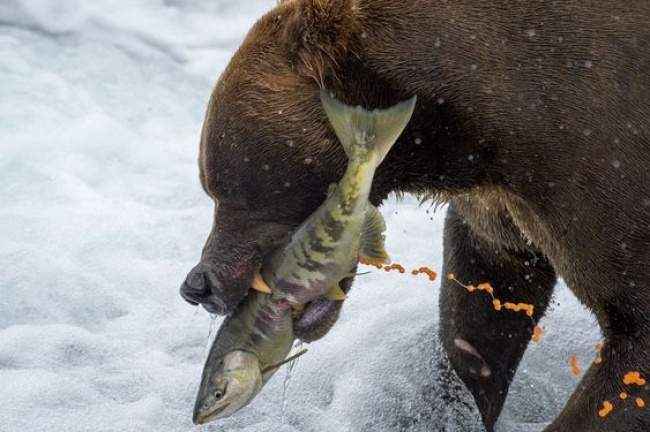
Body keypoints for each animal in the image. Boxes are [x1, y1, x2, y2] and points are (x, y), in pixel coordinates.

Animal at [180, 1, 648, 430]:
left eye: (224, 187)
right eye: (210, 183)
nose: (198, 285)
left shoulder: (595, 163)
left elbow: (630, 346)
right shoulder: (502, 203)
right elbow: (480, 313)